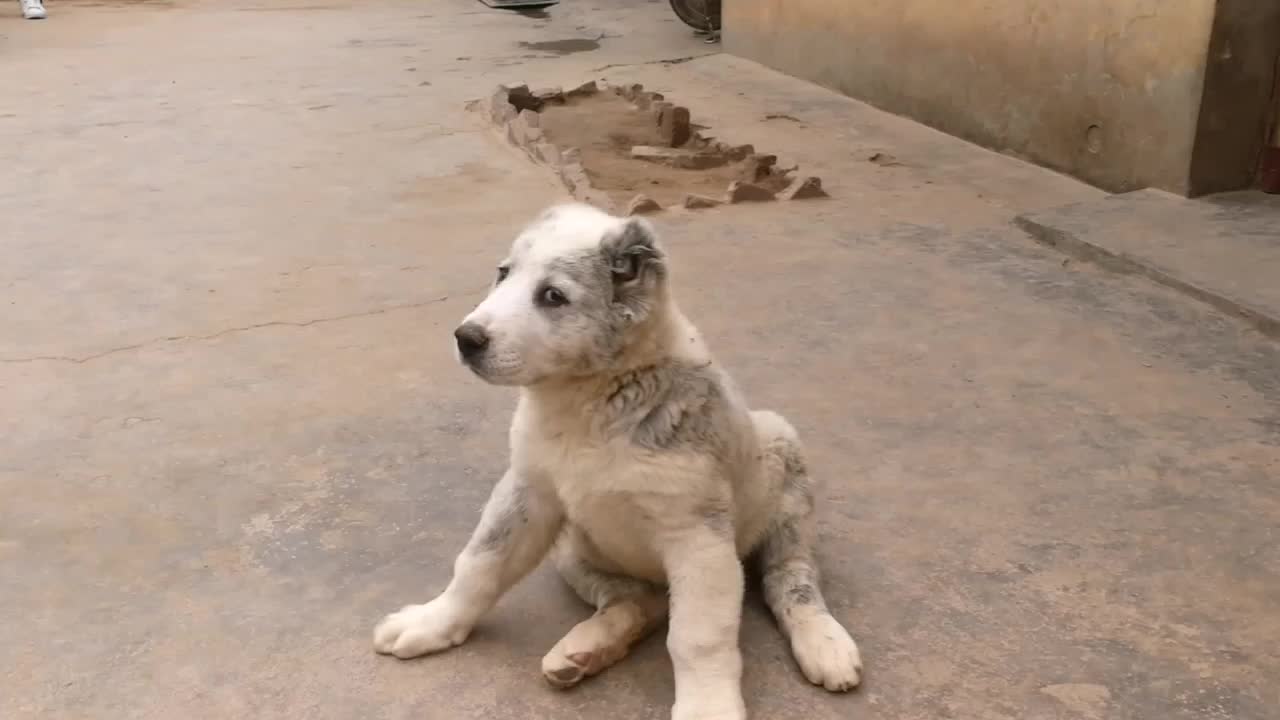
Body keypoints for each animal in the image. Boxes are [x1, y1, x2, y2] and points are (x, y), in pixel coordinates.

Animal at [373, 203, 865, 717]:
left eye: (552, 296)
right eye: (503, 274)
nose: (466, 337)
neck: (590, 403)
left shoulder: (698, 537)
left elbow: (697, 636)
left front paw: (706, 706)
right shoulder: (529, 491)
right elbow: (480, 564)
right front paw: (432, 622)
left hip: (782, 469)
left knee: (790, 578)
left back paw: (824, 642)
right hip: (574, 549)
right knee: (640, 602)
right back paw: (584, 650)